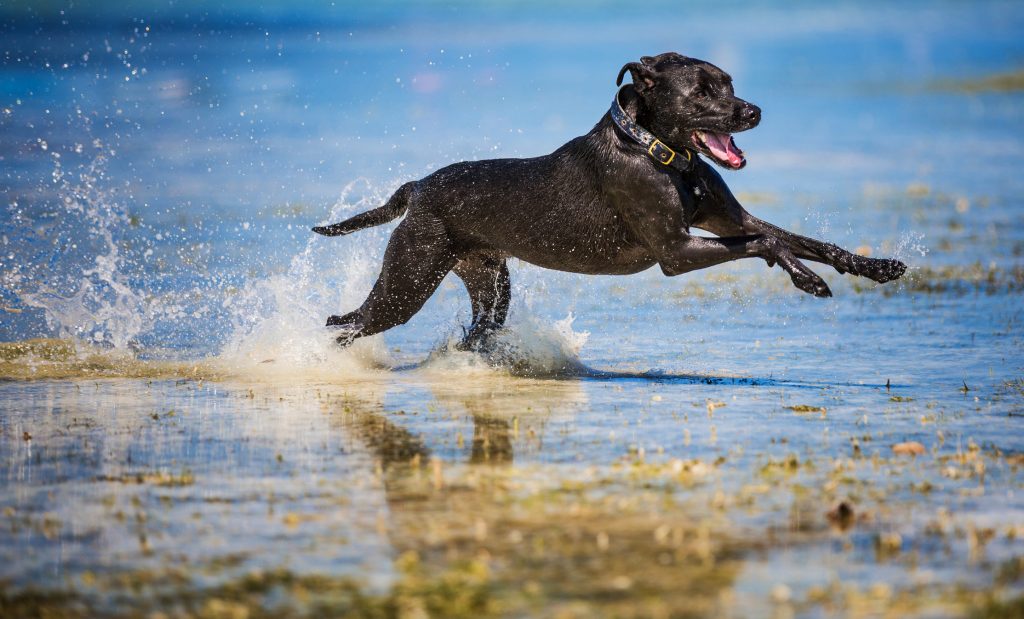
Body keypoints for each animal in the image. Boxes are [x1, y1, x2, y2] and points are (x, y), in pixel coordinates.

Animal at [311, 53, 905, 350]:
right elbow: (764, 243)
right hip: (410, 277)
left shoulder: (724, 219)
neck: (658, 152)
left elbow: (798, 238)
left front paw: (876, 266)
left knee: (476, 327)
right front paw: (807, 279)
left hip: (488, 280)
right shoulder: (675, 252)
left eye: (729, 82)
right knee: (348, 322)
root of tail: (417, 187)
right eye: (702, 91)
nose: (753, 111)